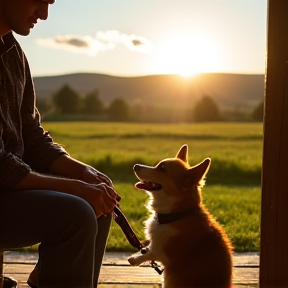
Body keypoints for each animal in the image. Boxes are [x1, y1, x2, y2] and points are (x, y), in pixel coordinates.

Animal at [128, 145, 234, 288]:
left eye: (162, 168)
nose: (135, 166)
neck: (175, 215)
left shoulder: (163, 252)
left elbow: (150, 252)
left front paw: (135, 259)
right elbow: (148, 249)